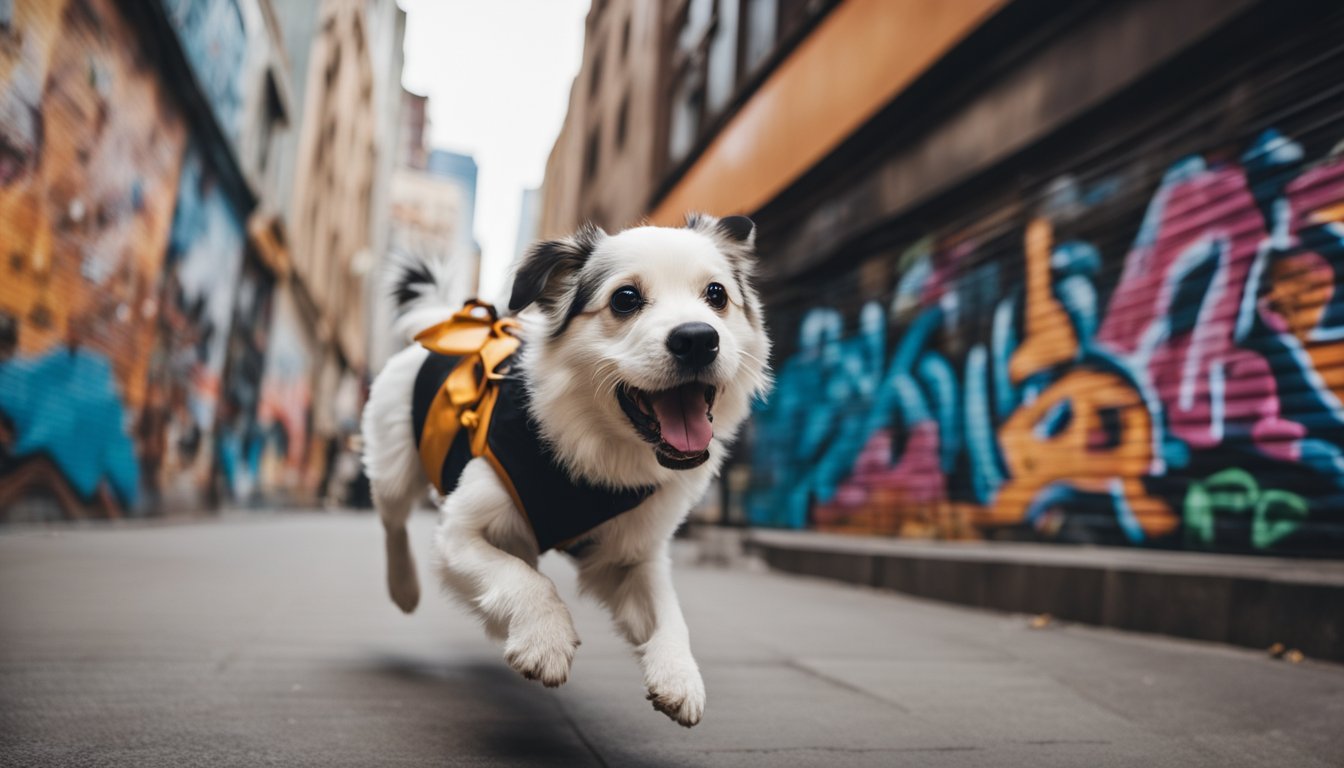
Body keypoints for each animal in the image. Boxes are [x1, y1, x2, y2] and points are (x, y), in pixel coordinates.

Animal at [362, 215, 774, 726]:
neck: (597, 450)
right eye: (625, 299)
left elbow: (669, 611)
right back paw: (404, 587)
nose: (698, 338)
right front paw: (546, 639)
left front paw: (679, 673)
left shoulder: (631, 556)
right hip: (395, 466)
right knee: (393, 520)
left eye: (716, 294)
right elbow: (526, 579)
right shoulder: (459, 532)